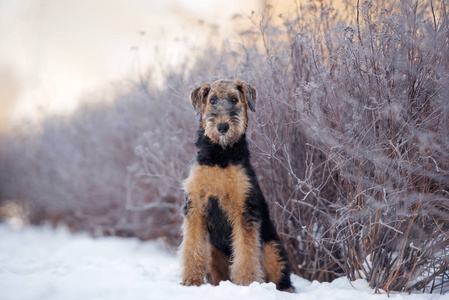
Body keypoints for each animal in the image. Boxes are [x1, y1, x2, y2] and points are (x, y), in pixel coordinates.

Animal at [179, 78, 294, 292]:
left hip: (272, 250)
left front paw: (246, 284)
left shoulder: (243, 209)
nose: (223, 126)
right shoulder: (195, 207)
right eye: (212, 100)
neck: (220, 156)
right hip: (214, 253)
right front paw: (191, 280)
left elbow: (245, 252)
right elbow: (192, 247)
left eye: (234, 99)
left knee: (282, 280)